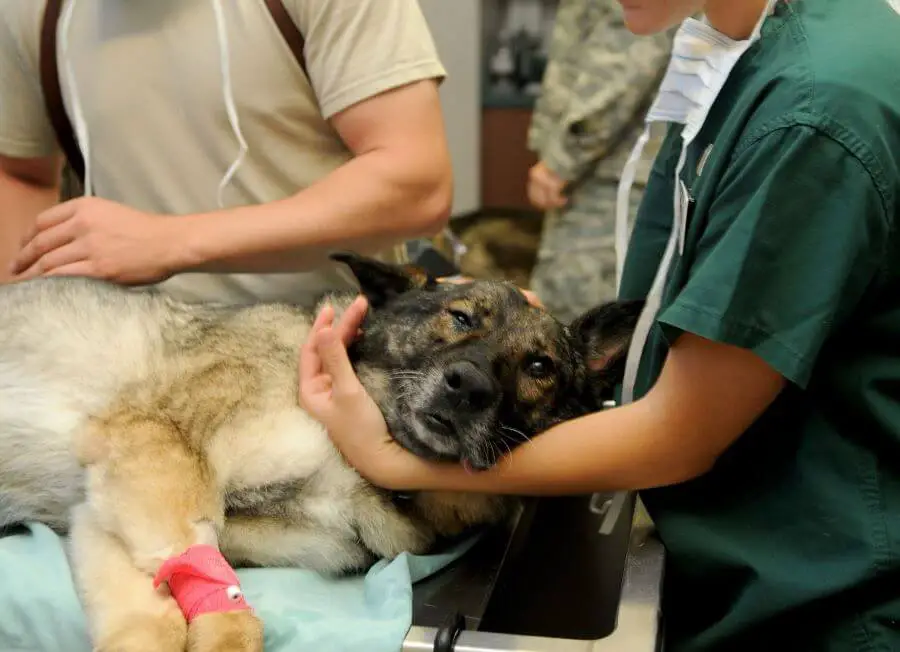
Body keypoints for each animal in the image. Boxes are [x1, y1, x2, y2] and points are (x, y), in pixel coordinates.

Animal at [0, 255, 640, 652]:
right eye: (459, 318)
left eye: (539, 366)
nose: (469, 387)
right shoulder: (152, 448)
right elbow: (202, 605)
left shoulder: (110, 511)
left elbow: (161, 609)